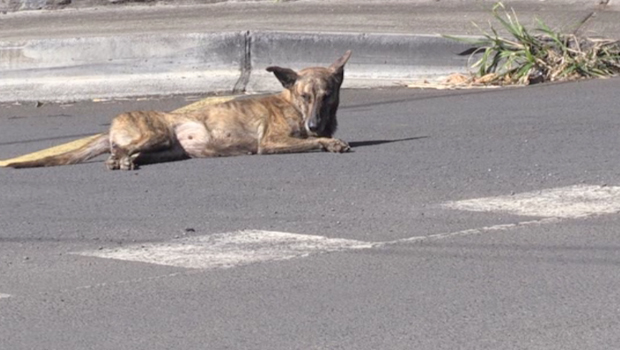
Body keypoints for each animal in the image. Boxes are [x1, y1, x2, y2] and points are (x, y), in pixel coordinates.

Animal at [7, 50, 354, 170]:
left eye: (326, 96)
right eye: (305, 96)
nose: (313, 124)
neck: (292, 106)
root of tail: (114, 122)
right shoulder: (269, 143)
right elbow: (314, 143)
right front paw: (330, 142)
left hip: (165, 149)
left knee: (125, 153)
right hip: (155, 135)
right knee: (119, 152)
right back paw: (119, 161)